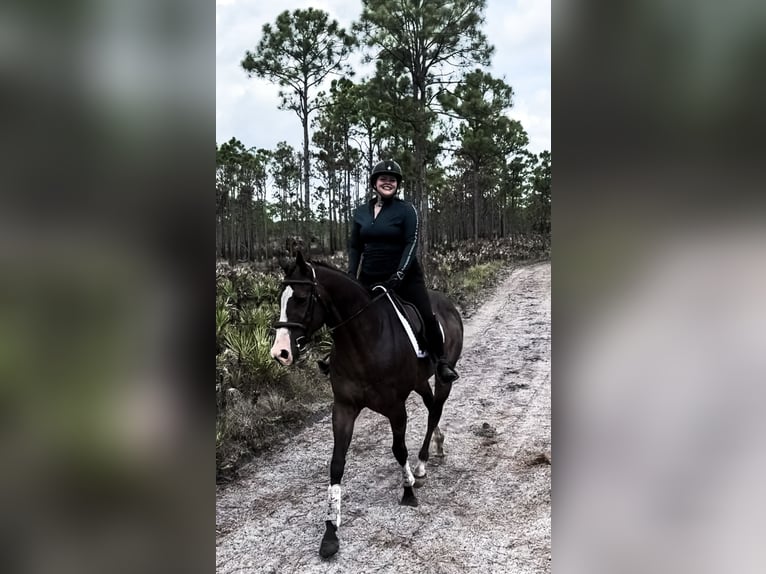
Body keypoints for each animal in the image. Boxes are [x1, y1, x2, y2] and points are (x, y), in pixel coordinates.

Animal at [269, 252, 464, 558]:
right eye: (281, 298)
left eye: (300, 299)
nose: (281, 352)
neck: (364, 339)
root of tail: (447, 303)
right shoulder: (344, 408)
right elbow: (337, 464)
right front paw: (330, 531)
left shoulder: (396, 407)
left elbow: (399, 450)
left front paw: (408, 491)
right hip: (420, 381)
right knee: (431, 405)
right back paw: (437, 443)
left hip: (444, 377)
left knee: (435, 410)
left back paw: (421, 464)